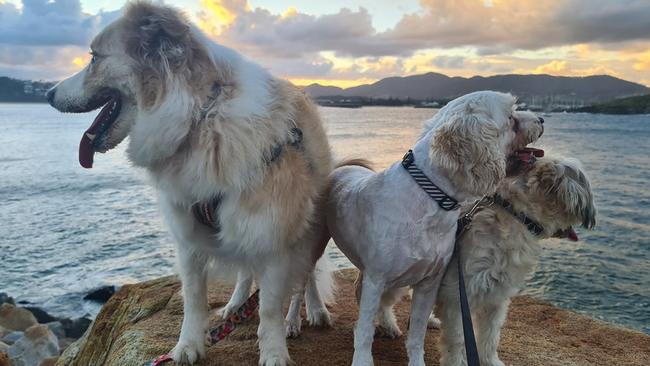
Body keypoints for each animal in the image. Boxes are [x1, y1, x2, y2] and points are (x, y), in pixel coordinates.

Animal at [45, 2, 332, 364]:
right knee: (245, 271)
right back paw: (236, 304)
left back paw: (309, 311)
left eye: (94, 58)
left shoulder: (273, 236)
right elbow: (194, 299)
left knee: (305, 277)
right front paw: (188, 347)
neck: (201, 119)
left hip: (309, 228)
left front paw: (274, 352)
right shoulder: (189, 235)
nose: (47, 94)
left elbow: (270, 307)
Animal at [324, 91, 540, 366]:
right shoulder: (376, 279)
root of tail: (342, 167)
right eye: (511, 117)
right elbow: (363, 332)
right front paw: (362, 360)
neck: (430, 199)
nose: (542, 120)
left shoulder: (429, 283)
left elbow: (417, 334)